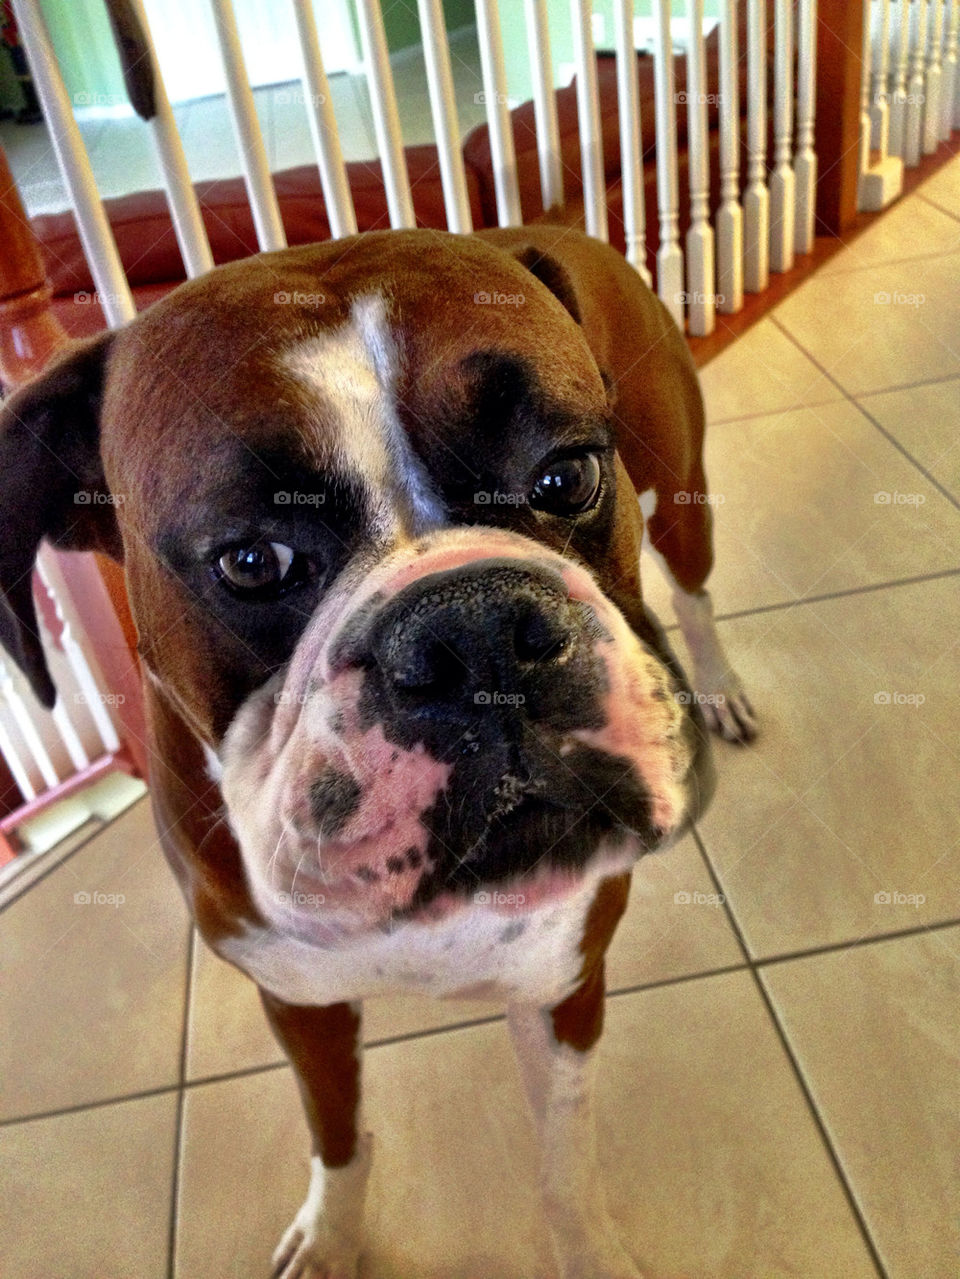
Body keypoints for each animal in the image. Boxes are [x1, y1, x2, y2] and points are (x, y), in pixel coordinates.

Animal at [0, 230, 756, 1279]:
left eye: (564, 477)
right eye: (252, 561)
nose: (474, 629)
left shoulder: (563, 984)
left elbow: (565, 1159)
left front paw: (585, 1249)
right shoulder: (299, 1006)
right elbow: (339, 1136)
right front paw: (333, 1237)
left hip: (681, 496)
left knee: (693, 587)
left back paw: (718, 681)